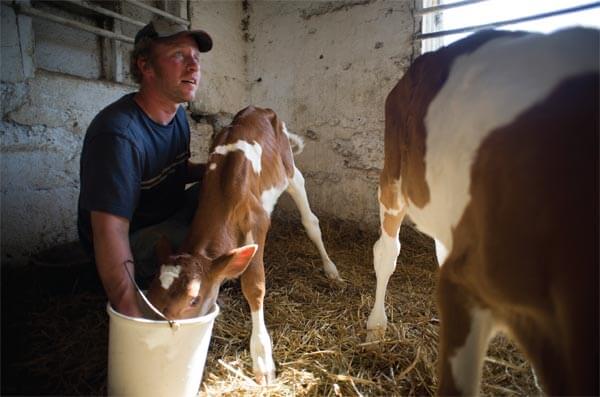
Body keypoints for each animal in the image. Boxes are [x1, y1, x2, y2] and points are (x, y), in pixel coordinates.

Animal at [146, 106, 342, 384]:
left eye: (193, 300)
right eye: (151, 293)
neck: (222, 194)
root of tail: (259, 110)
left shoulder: (257, 225)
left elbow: (254, 286)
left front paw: (262, 359)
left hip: (290, 171)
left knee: (311, 222)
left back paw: (331, 270)